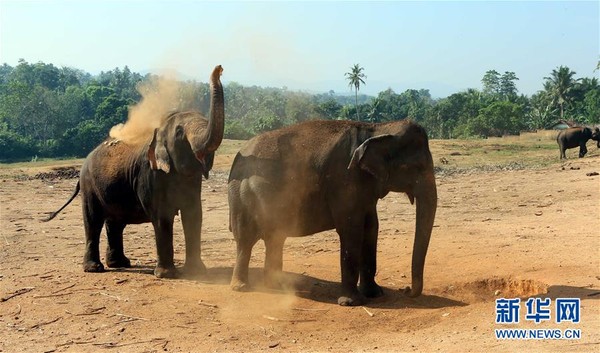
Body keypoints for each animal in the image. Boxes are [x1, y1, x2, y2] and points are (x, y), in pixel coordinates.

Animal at [43, 64, 224, 278]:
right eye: (180, 133)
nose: (219, 68)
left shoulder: (191, 181)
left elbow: (194, 214)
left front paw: (196, 271)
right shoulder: (149, 175)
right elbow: (162, 217)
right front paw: (166, 275)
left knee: (114, 223)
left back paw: (119, 263)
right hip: (89, 187)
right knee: (93, 221)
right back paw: (95, 269)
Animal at [227, 119, 438, 306]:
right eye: (414, 167)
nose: (406, 289)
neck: (377, 129)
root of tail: (237, 157)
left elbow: (371, 228)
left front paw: (375, 294)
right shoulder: (344, 180)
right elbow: (351, 230)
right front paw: (351, 302)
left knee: (275, 238)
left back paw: (276, 284)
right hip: (241, 197)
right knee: (245, 239)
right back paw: (241, 287)